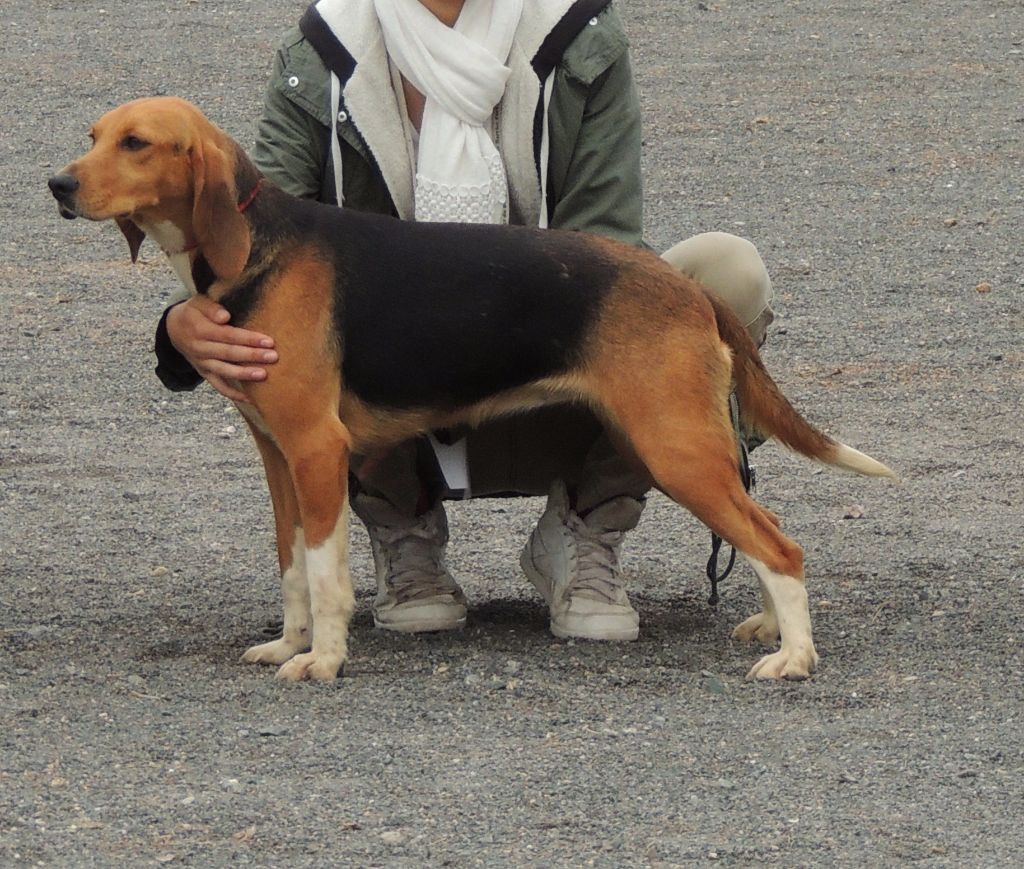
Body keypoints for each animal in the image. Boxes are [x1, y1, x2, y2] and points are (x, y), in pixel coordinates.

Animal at [49, 98, 897, 679]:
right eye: (91, 136)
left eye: (135, 143)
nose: (57, 183)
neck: (259, 245)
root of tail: (684, 287)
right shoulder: (278, 457)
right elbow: (292, 565)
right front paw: (287, 641)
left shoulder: (316, 449)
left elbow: (324, 573)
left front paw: (323, 659)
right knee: (767, 532)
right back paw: (773, 630)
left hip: (676, 446)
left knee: (780, 544)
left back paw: (795, 656)